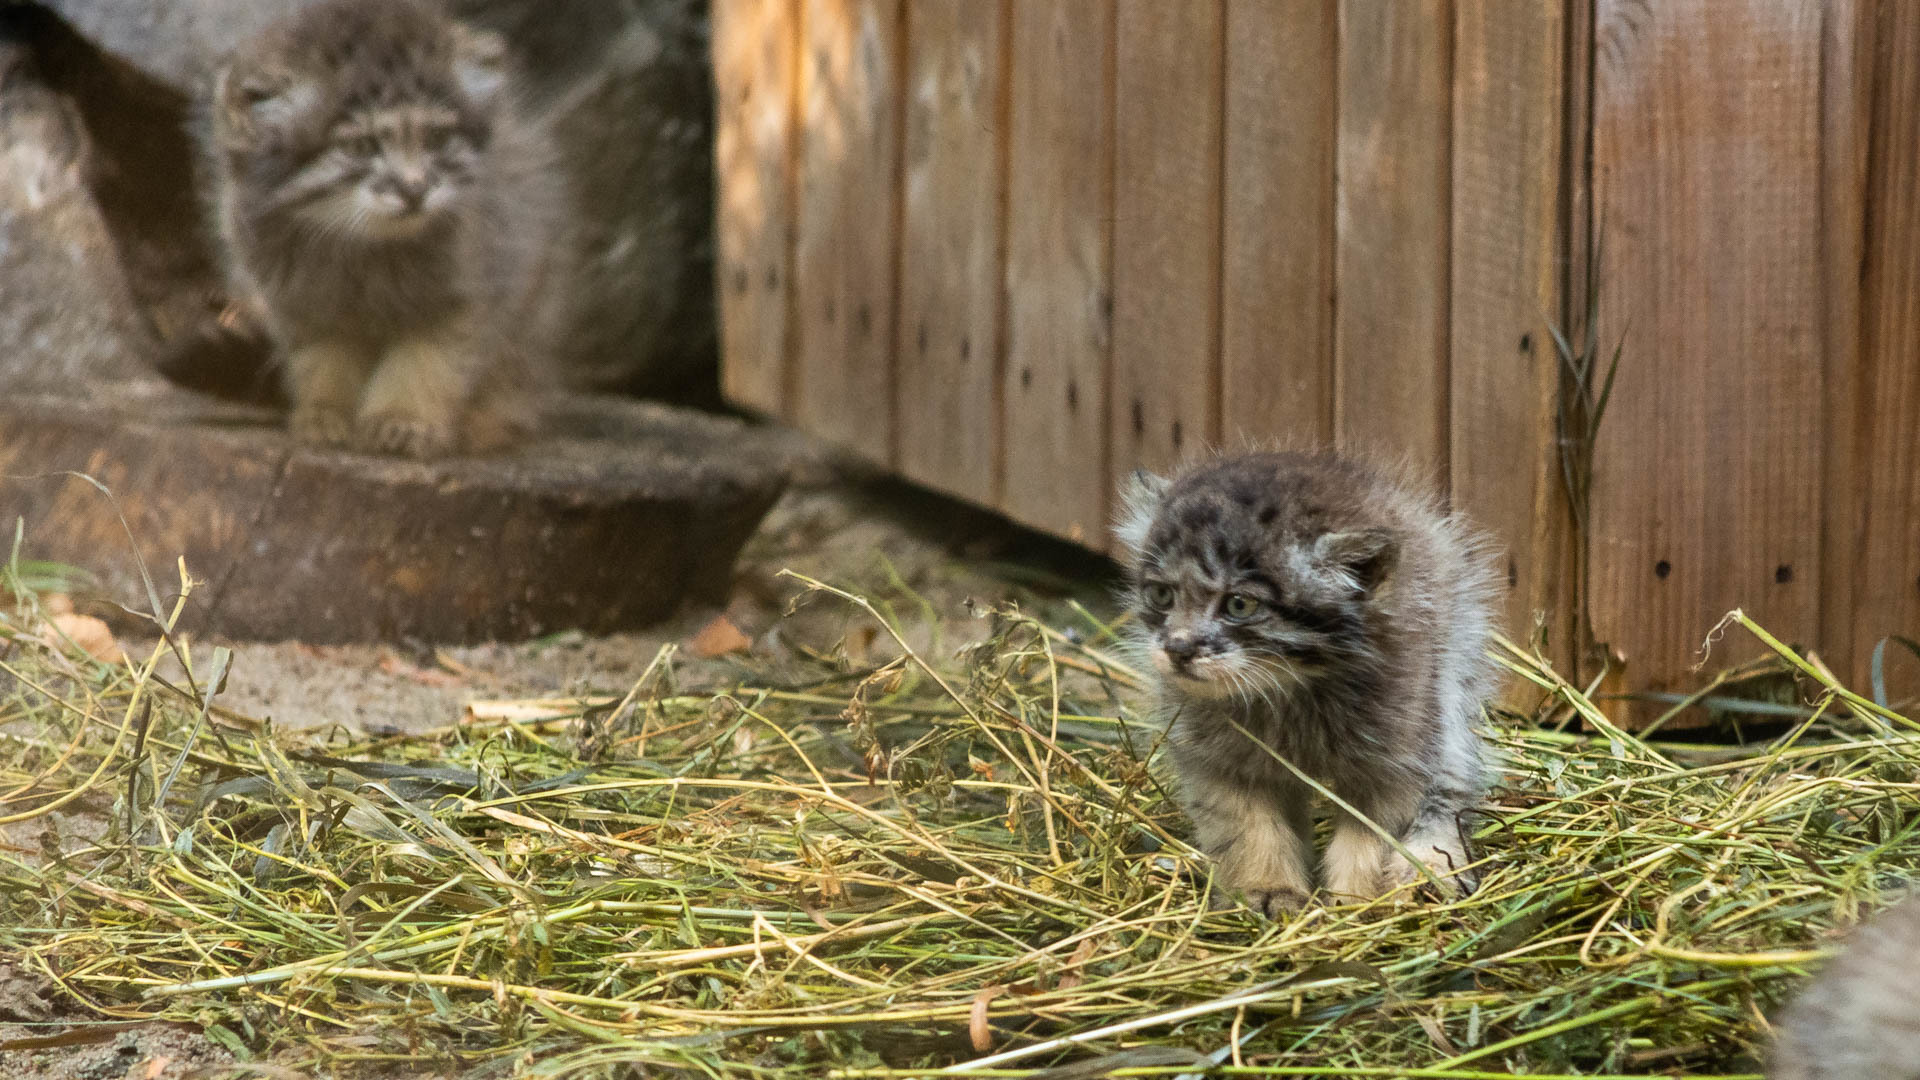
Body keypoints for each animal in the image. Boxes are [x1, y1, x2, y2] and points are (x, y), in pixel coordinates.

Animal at [200, 0, 560, 453]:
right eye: (359, 145)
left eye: (437, 138)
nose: (414, 190)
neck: (363, 249)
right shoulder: (304, 302)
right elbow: (324, 360)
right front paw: (325, 412)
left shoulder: (469, 290)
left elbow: (427, 361)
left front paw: (403, 419)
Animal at [1113, 445, 1497, 907]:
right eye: (1161, 595)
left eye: (1239, 605)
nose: (1178, 650)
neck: (1289, 690)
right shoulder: (1218, 759)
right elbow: (1248, 827)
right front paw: (1266, 888)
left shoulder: (1395, 758)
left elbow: (1370, 837)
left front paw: (1356, 901)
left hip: (1452, 679)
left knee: (1452, 783)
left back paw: (1431, 866)